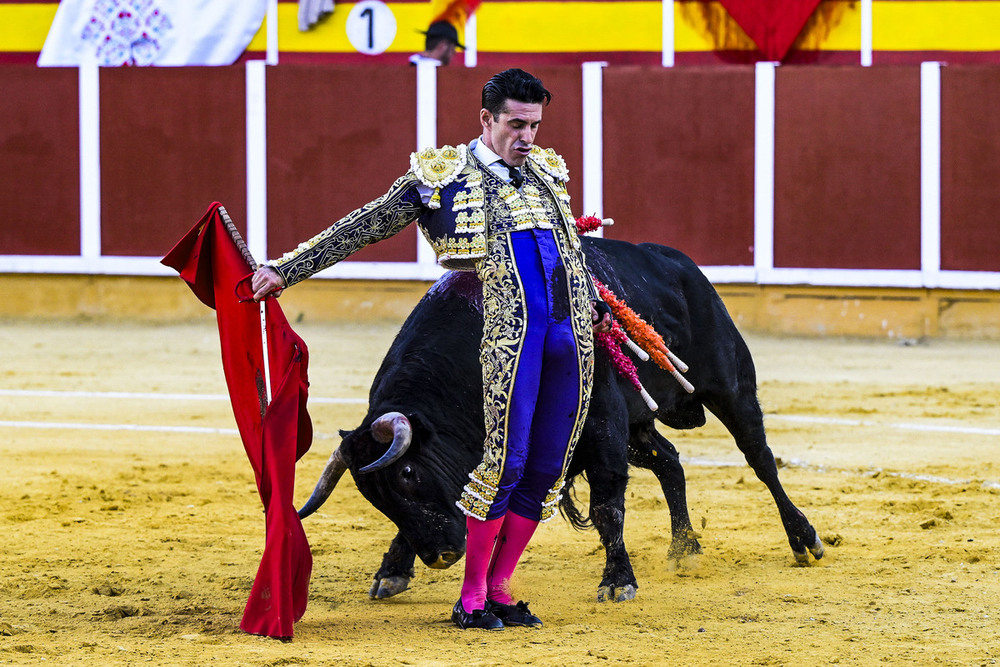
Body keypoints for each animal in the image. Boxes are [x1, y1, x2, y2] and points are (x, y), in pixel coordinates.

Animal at [294, 237, 820, 604]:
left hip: (729, 387)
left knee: (760, 459)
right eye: (372, 496)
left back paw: (804, 539)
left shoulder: (602, 428)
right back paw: (684, 548)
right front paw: (392, 572)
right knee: (670, 461)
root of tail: (681, 265)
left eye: (406, 473)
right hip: (638, 426)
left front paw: (617, 582)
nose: (441, 556)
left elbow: (608, 507)